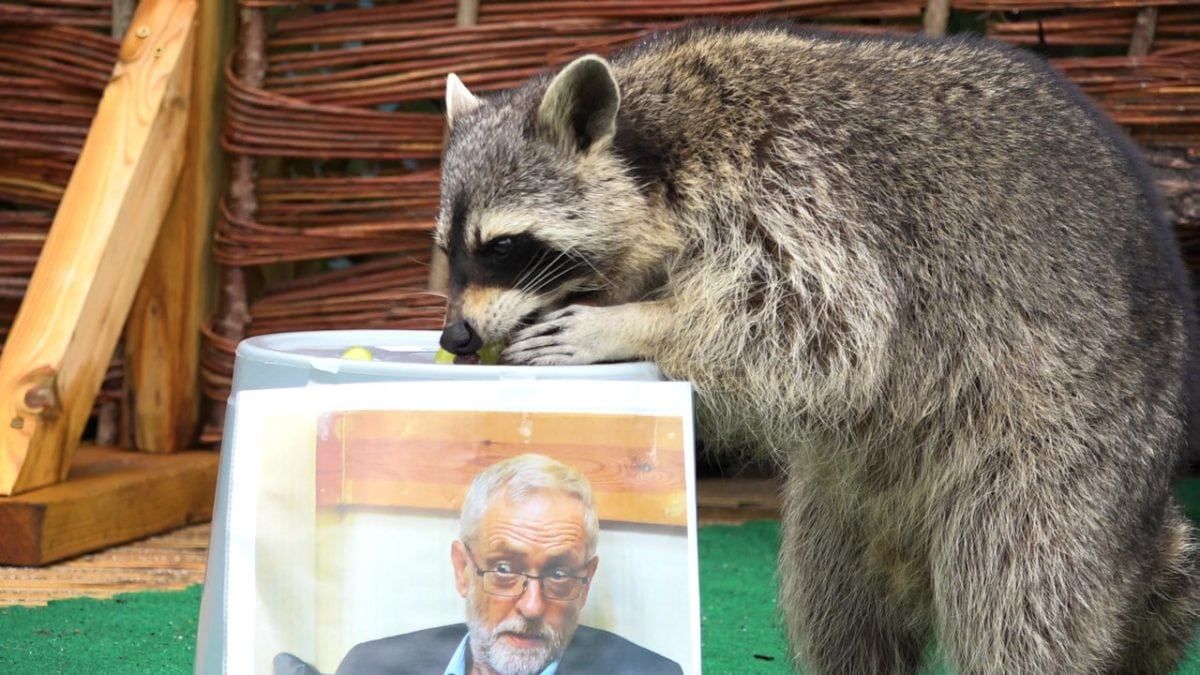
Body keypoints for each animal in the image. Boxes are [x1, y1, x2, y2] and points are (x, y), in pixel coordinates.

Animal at [436, 22, 1200, 672]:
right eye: (447, 250)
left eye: (502, 246)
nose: (454, 335)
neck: (659, 140)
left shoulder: (797, 187)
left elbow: (821, 330)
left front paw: (631, 322)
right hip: (849, 501)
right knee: (836, 598)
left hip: (1065, 447)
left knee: (1022, 591)